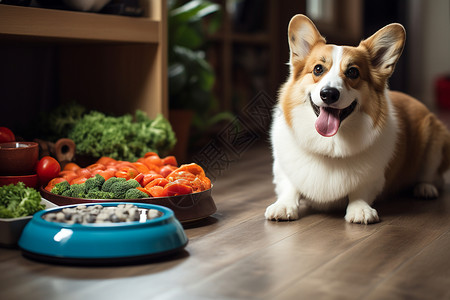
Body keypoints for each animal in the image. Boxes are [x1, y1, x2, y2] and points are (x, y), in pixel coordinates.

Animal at [264, 15, 450, 224]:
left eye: (353, 72)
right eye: (318, 69)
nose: (329, 94)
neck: (330, 145)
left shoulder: (374, 178)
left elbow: (360, 191)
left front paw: (360, 210)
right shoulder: (283, 170)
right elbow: (290, 186)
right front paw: (283, 205)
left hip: (435, 142)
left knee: (434, 177)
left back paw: (425, 188)